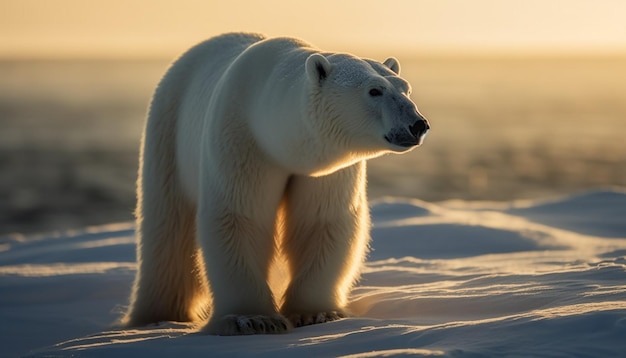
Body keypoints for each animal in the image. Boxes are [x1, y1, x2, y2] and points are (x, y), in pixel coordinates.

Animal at [121, 32, 426, 336]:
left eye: (406, 89)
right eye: (375, 91)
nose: (418, 125)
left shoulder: (326, 171)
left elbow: (321, 222)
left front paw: (316, 313)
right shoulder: (241, 140)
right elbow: (239, 217)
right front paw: (253, 319)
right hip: (169, 133)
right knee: (167, 228)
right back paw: (156, 315)